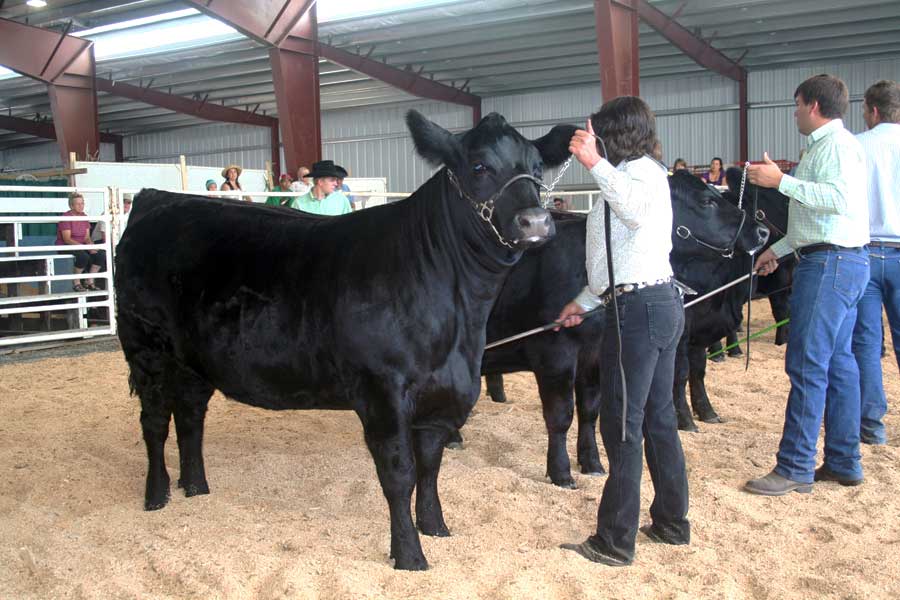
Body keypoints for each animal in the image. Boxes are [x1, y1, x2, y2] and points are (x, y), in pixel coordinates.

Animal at [114, 110, 576, 571]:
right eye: (479, 166)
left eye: (537, 168)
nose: (536, 222)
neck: (459, 319)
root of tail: (157, 199)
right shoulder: (381, 390)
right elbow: (400, 474)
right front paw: (409, 555)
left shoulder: (445, 392)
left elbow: (430, 466)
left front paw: (435, 526)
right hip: (146, 348)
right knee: (154, 422)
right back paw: (157, 494)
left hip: (193, 359)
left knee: (191, 415)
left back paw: (195, 486)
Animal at [465, 170, 767, 486]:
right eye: (707, 200)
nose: (761, 232)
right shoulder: (554, 352)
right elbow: (560, 415)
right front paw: (561, 473)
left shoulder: (596, 355)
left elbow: (589, 411)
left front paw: (593, 463)